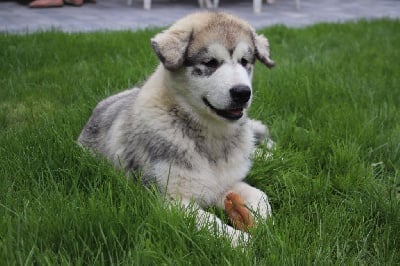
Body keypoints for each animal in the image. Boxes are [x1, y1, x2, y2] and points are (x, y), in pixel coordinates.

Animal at [79, 11, 276, 246]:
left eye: (244, 61)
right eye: (210, 62)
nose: (242, 93)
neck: (212, 138)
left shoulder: (227, 182)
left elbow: (261, 197)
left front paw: (266, 228)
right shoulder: (168, 200)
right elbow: (211, 223)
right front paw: (242, 241)